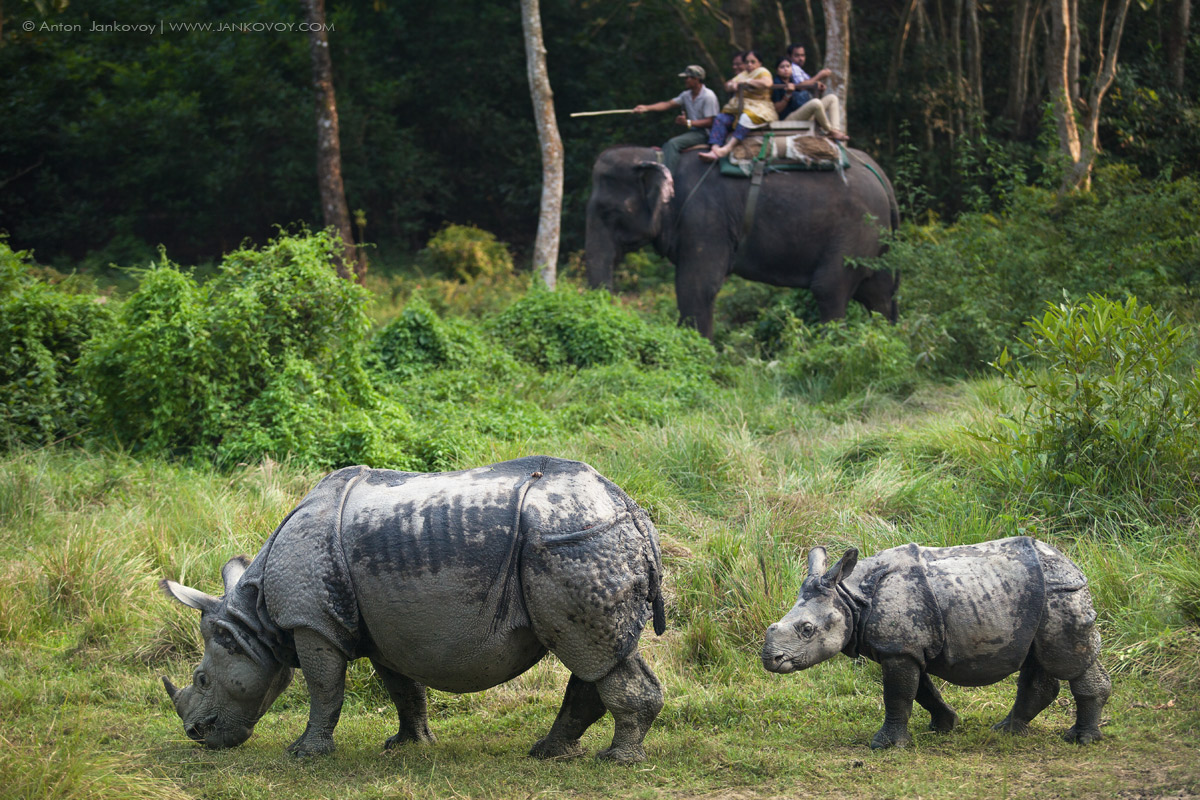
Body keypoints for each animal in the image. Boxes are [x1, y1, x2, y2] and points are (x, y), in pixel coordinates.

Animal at [580, 143, 902, 338]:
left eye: (607, 211)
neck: (657, 157)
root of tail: (884, 180)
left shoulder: (706, 219)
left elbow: (696, 287)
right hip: (874, 239)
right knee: (879, 295)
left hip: (856, 229)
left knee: (829, 289)